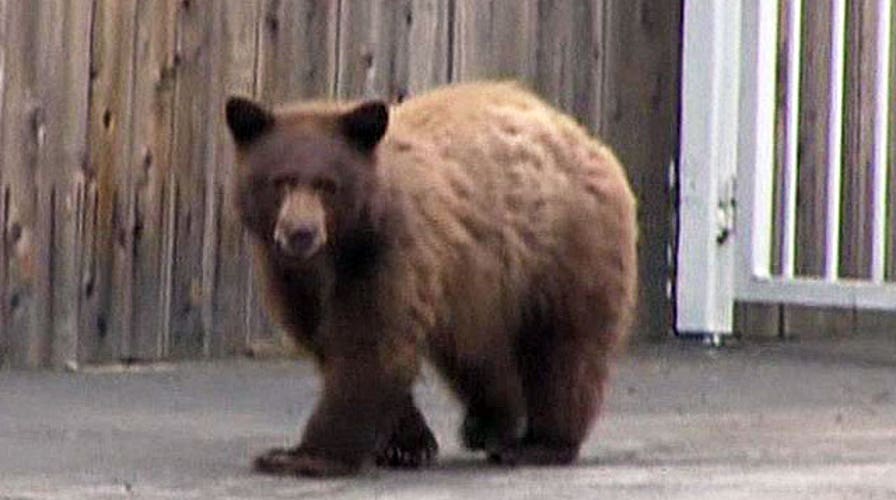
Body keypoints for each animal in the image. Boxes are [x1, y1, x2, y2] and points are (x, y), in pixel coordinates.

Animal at [225, 81, 638, 477]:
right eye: (280, 181)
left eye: (327, 184)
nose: (300, 233)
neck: (339, 246)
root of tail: (589, 140)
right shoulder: (292, 276)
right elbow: (327, 340)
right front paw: (406, 444)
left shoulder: (390, 249)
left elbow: (370, 341)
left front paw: (302, 456)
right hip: (482, 285)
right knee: (478, 353)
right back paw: (487, 424)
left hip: (564, 250)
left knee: (565, 348)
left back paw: (539, 443)